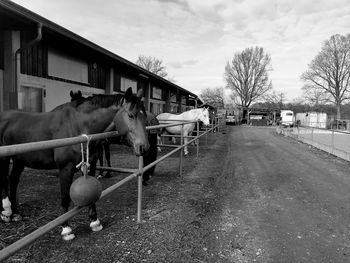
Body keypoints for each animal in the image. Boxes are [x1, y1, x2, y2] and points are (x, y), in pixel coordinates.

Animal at [0, 88, 148, 241]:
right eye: (131, 115)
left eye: (145, 117)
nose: (143, 147)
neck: (79, 126)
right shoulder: (65, 169)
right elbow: (65, 198)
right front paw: (66, 229)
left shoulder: (90, 165)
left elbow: (92, 193)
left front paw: (95, 222)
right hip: (5, 158)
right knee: (4, 180)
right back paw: (6, 212)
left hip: (19, 160)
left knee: (13, 180)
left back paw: (15, 213)